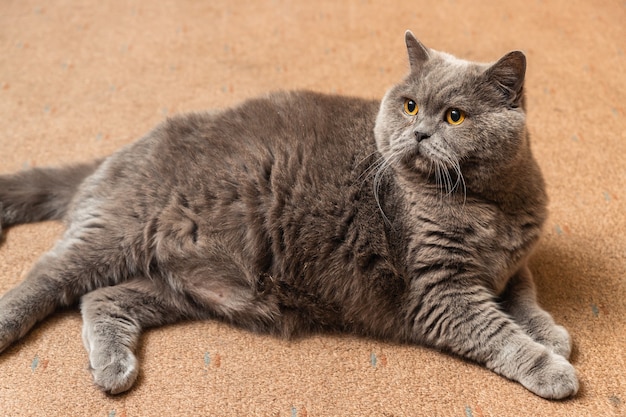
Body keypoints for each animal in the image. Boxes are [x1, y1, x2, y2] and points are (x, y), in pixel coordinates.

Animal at [0, 30, 576, 398]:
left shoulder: (512, 262)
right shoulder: (439, 291)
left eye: (455, 116)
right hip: (120, 230)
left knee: (102, 298)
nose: (418, 132)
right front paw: (551, 368)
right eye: (410, 105)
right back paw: (10, 324)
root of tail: (123, 150)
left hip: (184, 283)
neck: (490, 205)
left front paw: (551, 333)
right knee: (45, 276)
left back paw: (114, 369)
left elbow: (524, 296)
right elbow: (497, 331)